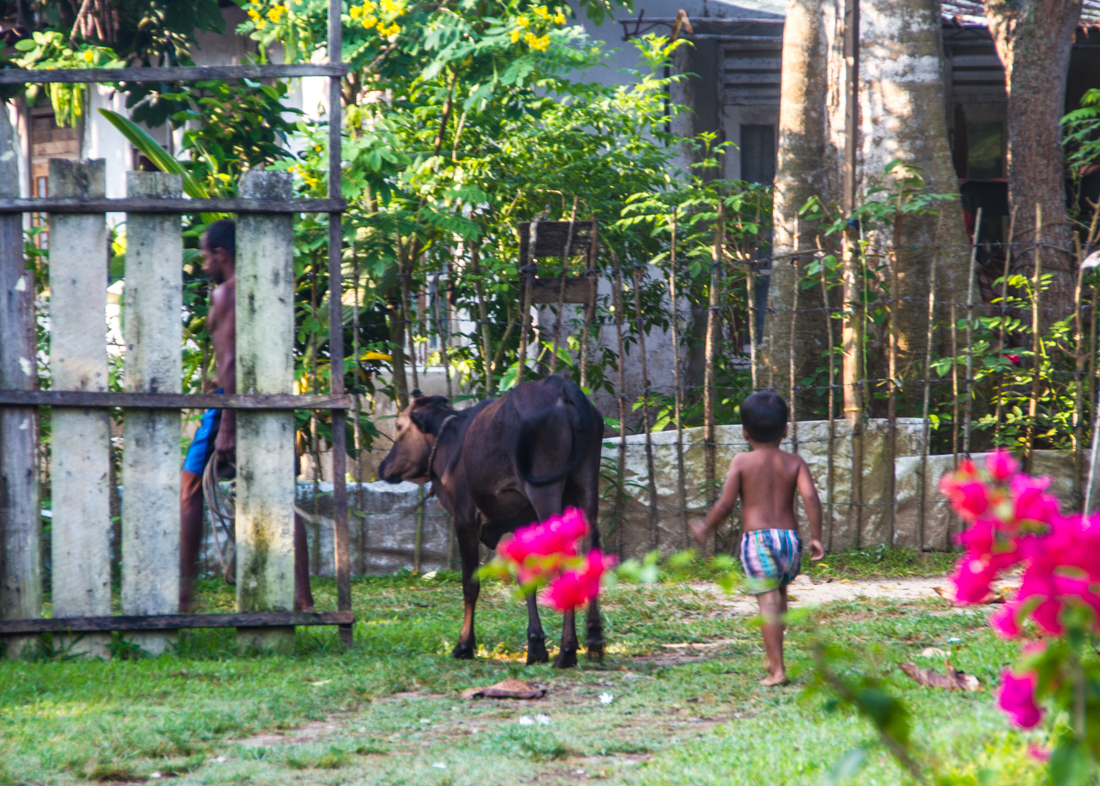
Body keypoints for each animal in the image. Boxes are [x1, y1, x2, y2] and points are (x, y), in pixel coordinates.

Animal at [376, 375, 602, 668]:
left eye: (400, 427)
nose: (382, 467)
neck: (449, 442)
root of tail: (562, 385)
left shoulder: (464, 518)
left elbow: (470, 583)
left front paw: (464, 645)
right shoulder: (520, 521)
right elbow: (525, 578)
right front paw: (536, 646)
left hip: (545, 491)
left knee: (566, 559)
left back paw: (567, 651)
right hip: (586, 483)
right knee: (592, 547)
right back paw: (595, 639)